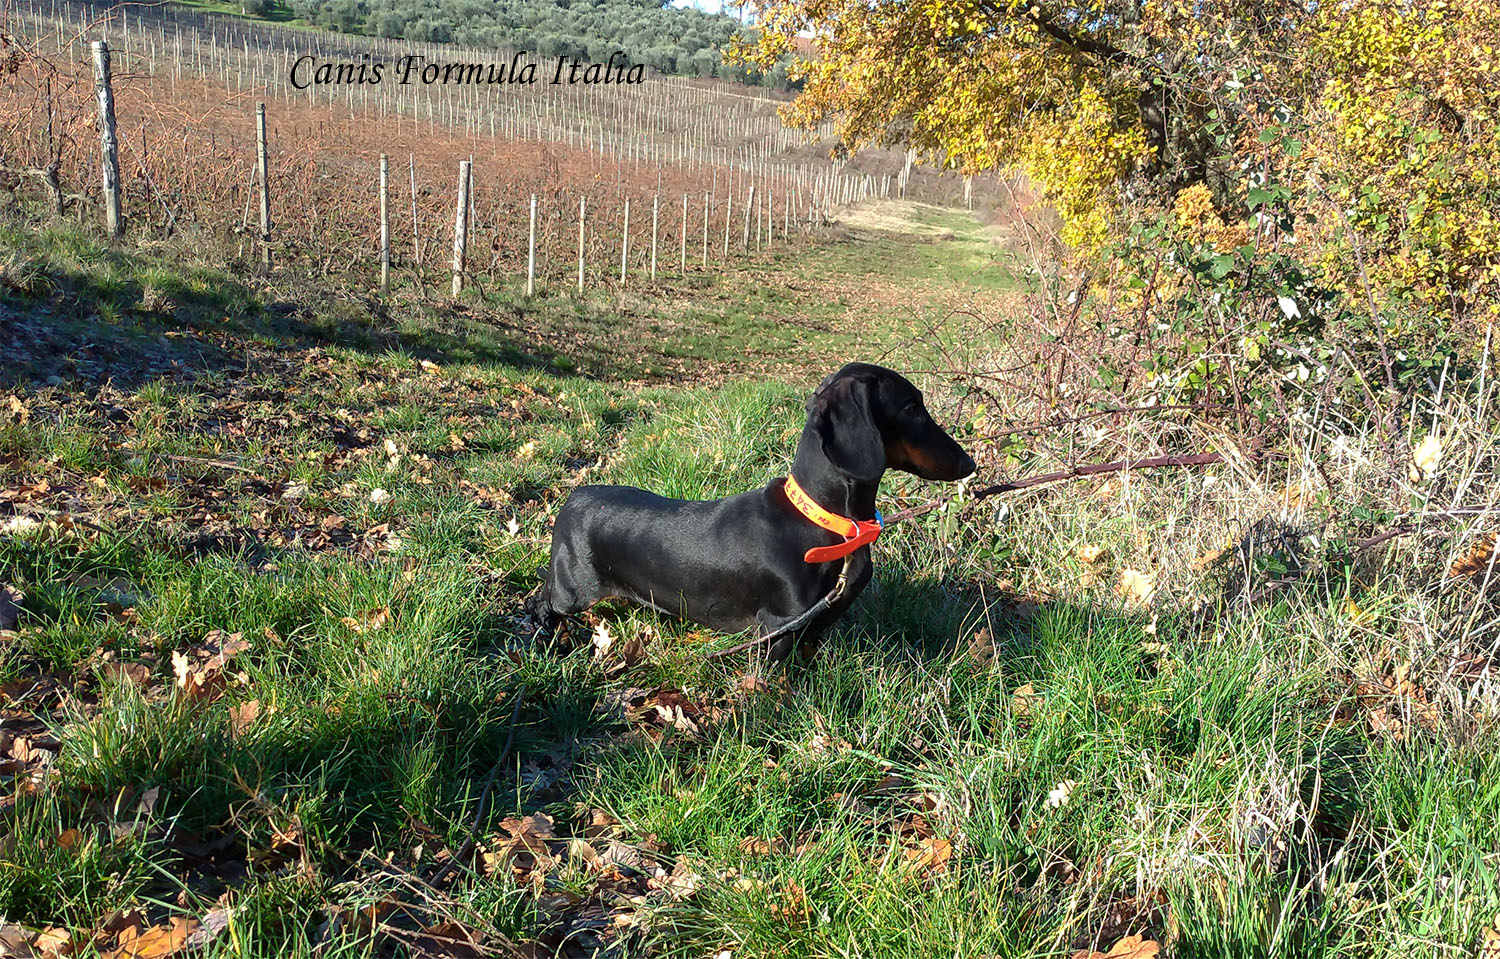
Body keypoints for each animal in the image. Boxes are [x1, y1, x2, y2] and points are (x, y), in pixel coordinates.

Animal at [525, 361, 972, 660]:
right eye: (911, 408)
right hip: (572, 590)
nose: (970, 464)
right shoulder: (778, 628)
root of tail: (572, 498)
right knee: (544, 603)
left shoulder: (812, 628)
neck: (833, 525)